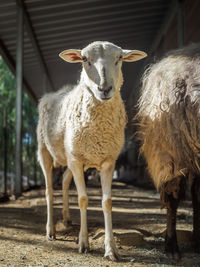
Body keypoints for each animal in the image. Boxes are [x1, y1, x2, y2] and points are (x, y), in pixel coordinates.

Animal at [37, 42, 147, 262]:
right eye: (84, 59)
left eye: (119, 58)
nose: (104, 89)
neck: (98, 129)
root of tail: (51, 94)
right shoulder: (76, 160)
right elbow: (83, 199)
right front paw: (84, 243)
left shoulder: (107, 161)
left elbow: (107, 202)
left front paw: (111, 249)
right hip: (45, 150)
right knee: (49, 190)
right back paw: (50, 230)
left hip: (71, 156)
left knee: (64, 181)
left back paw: (67, 218)